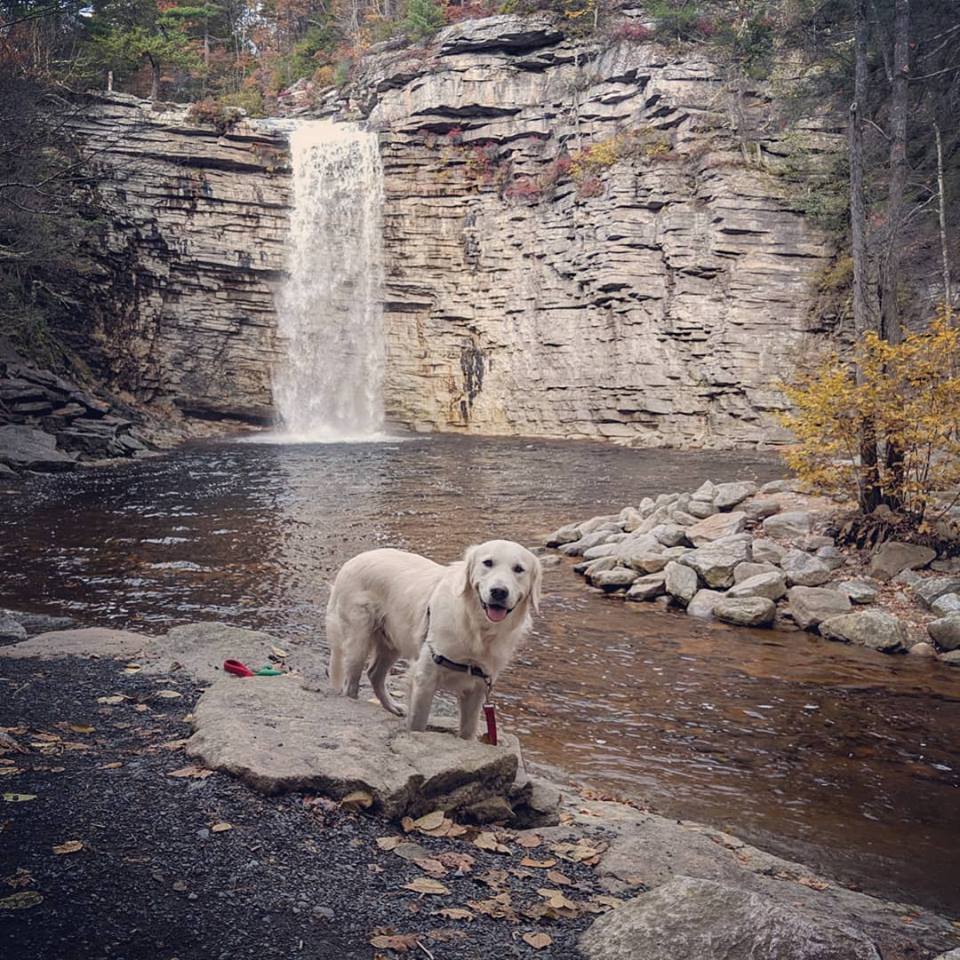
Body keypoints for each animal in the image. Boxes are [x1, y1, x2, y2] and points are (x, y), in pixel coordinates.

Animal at [328, 544, 540, 740]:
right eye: (487, 563)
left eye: (519, 569)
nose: (498, 592)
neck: (477, 626)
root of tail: (351, 561)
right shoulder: (426, 677)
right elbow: (418, 724)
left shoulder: (479, 686)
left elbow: (468, 731)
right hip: (359, 640)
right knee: (352, 683)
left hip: (391, 641)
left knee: (374, 674)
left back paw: (393, 707)